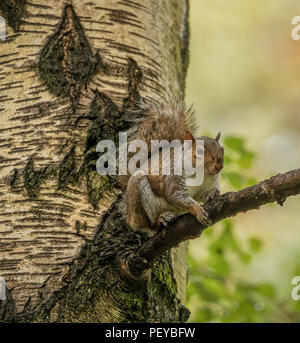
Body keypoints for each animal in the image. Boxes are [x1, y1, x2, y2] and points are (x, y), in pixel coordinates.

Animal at [121, 102, 223, 234]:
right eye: (199, 151)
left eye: (222, 150)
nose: (219, 166)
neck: (204, 175)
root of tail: (128, 212)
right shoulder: (174, 176)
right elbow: (176, 196)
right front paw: (198, 210)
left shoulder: (209, 184)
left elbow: (204, 194)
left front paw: (213, 194)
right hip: (137, 194)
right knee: (148, 226)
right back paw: (160, 220)